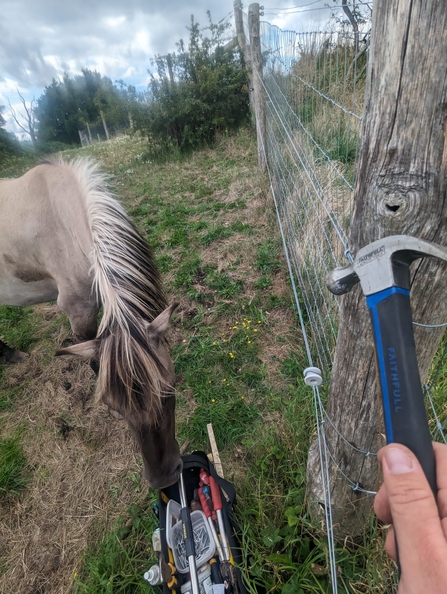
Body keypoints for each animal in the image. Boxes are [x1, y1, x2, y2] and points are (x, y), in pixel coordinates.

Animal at [0, 157, 182, 486]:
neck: (64, 224)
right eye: (112, 404)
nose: (162, 479)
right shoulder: (79, 311)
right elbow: (94, 356)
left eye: (169, 390)